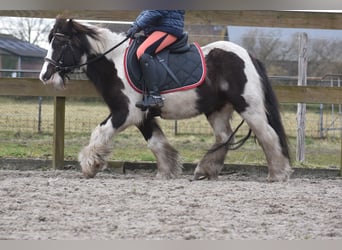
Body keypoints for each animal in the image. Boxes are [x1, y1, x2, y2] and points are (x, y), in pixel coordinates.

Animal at [39, 17, 292, 182]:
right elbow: (156, 142)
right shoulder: (142, 115)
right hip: (217, 109)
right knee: (224, 137)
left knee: (268, 135)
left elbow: (100, 132)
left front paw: (90, 165)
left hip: (249, 106)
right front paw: (167, 169)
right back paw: (205, 170)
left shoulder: (126, 112)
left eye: (60, 43)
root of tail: (248, 55)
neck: (114, 62)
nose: (45, 75)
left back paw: (278, 173)